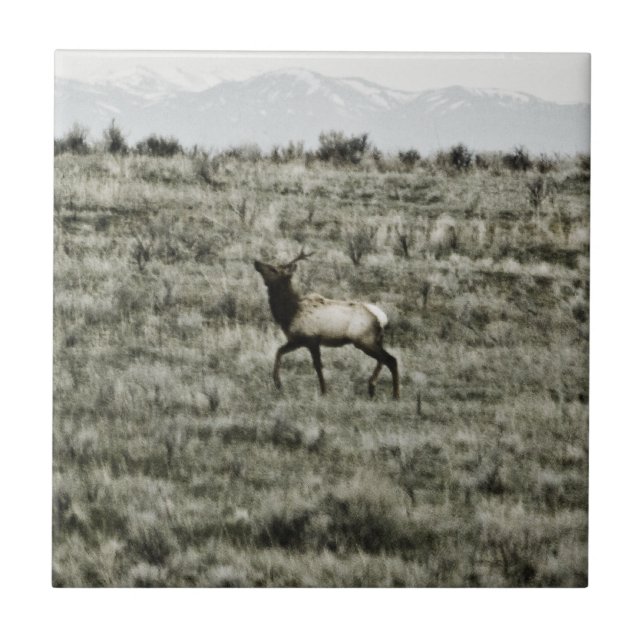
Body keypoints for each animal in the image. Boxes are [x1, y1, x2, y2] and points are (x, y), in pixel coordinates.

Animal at [254, 249, 400, 399]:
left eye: (274, 269)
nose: (256, 262)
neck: (288, 313)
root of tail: (382, 318)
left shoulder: (311, 339)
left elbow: (318, 365)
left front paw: (324, 391)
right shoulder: (296, 340)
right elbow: (279, 352)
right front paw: (277, 383)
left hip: (364, 340)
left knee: (390, 359)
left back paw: (394, 394)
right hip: (375, 340)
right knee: (383, 359)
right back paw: (372, 386)